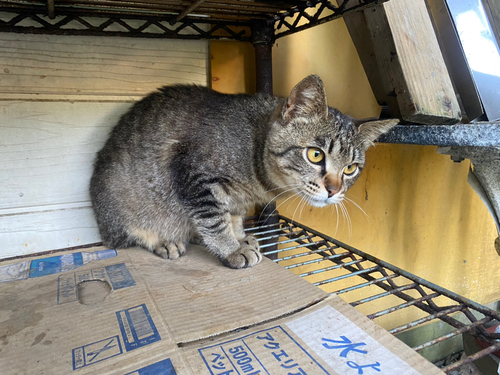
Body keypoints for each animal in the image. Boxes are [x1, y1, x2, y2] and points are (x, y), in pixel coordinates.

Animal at [90, 76, 398, 268]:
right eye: (315, 154)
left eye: (350, 168)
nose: (334, 190)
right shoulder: (195, 175)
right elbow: (214, 219)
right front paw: (231, 248)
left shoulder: (236, 198)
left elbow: (233, 215)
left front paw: (238, 236)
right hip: (122, 207)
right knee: (127, 237)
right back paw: (165, 242)